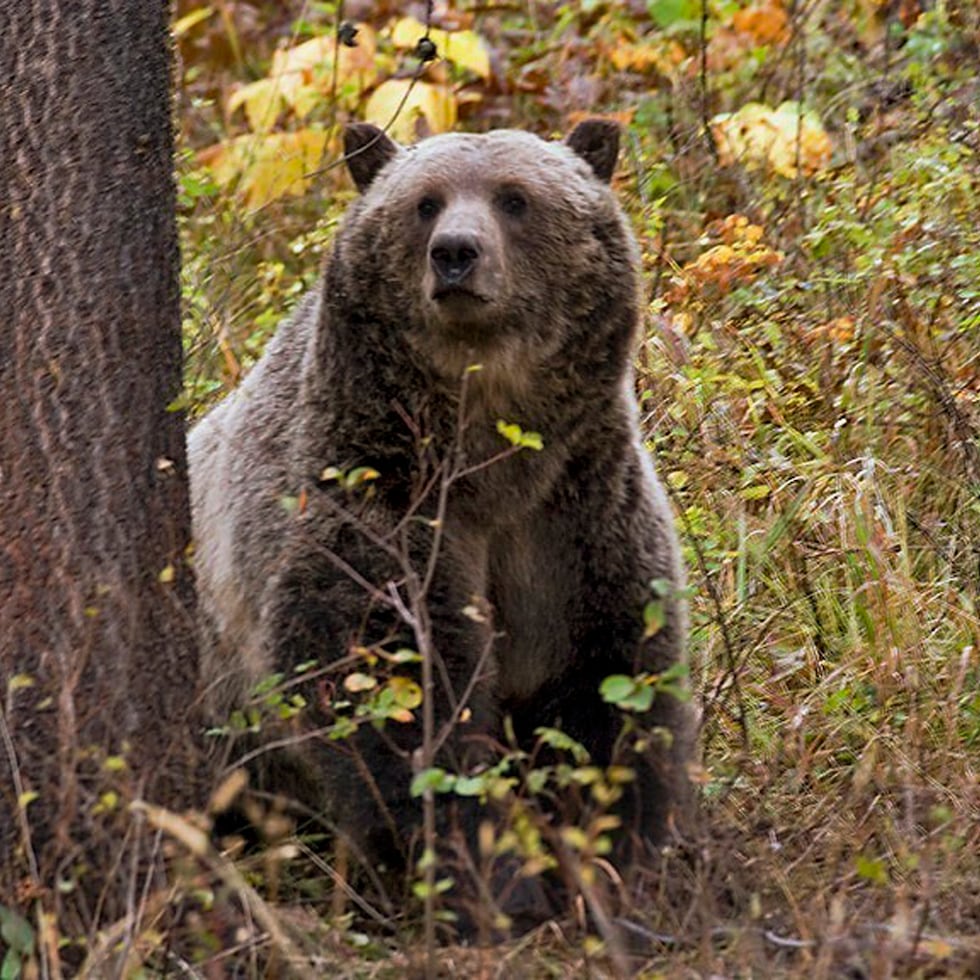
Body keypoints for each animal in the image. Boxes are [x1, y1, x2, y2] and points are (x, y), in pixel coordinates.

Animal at [189, 120, 693, 921]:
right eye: (425, 202)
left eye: (515, 198)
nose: (456, 252)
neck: (490, 455)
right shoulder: (377, 500)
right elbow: (396, 692)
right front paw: (489, 877)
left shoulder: (576, 516)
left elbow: (610, 683)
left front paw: (613, 854)